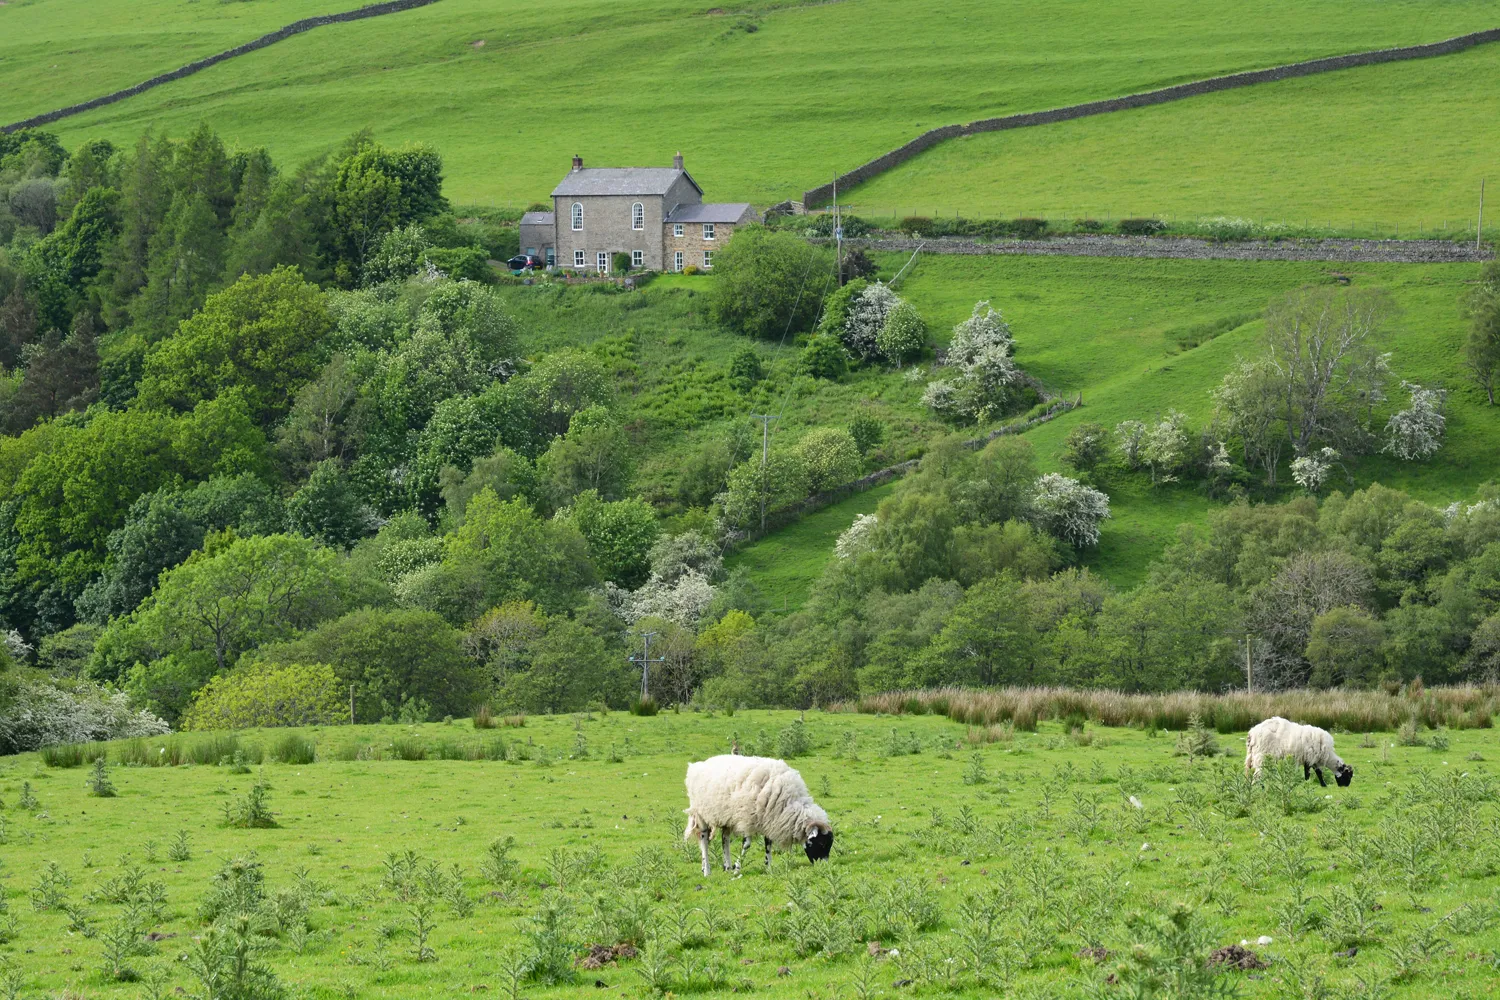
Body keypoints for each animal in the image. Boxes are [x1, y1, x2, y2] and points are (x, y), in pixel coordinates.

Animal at [684, 755, 834, 881]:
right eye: (821, 843)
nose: (824, 867)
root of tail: (697, 765)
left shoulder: (768, 820)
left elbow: (768, 844)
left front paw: (768, 866)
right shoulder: (747, 818)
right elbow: (747, 844)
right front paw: (738, 868)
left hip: (726, 817)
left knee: (724, 840)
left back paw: (726, 866)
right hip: (701, 814)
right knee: (704, 840)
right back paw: (707, 870)